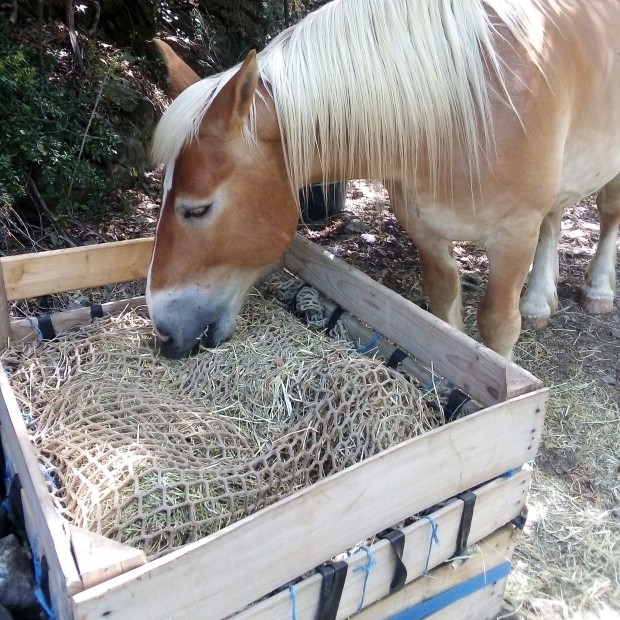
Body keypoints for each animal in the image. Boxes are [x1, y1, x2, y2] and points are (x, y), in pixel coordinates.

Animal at [148, 1, 620, 358]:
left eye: (198, 209)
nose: (164, 331)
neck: (465, 105)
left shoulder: (513, 236)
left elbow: (498, 326)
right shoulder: (425, 228)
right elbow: (444, 315)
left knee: (607, 215)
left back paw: (597, 291)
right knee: (555, 217)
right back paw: (539, 300)